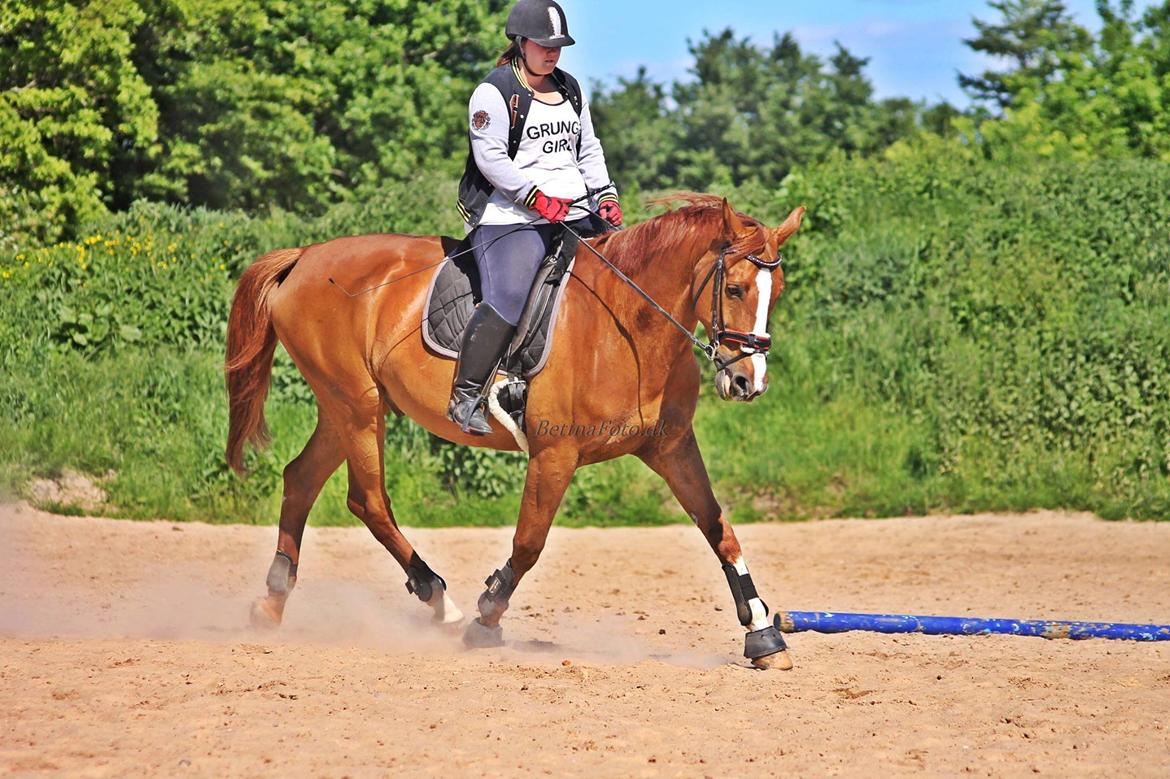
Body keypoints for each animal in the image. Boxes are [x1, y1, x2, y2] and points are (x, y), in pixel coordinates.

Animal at [221, 194, 804, 669]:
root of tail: (306, 256)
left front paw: (763, 634)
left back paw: (271, 603)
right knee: (368, 500)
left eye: (777, 292)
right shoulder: (555, 454)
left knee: (301, 479)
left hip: (343, 408)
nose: (749, 382)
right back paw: (442, 604)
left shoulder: (672, 447)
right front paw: (486, 618)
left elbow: (719, 529)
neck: (629, 326)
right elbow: (529, 542)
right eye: (735, 289)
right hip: (358, 405)